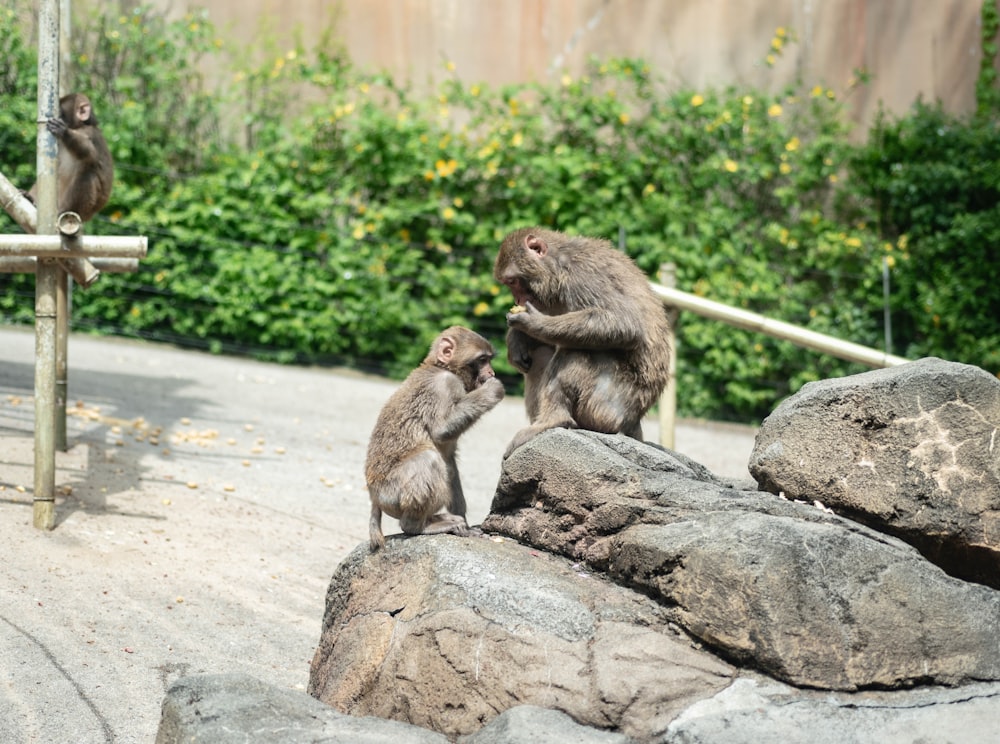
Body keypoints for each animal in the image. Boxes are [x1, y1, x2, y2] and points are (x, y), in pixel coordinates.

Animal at [366, 326, 504, 552]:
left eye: (489, 360)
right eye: (482, 360)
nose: (491, 373)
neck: (440, 367)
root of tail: (374, 499)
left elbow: (450, 459)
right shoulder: (444, 385)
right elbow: (441, 430)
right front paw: (492, 390)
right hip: (390, 494)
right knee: (428, 459)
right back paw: (416, 526)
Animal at [494, 227, 672, 456]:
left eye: (513, 281)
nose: (517, 300)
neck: (557, 265)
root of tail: (635, 421)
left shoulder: (582, 275)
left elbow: (625, 324)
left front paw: (532, 323)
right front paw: (516, 339)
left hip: (610, 406)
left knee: (576, 351)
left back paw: (554, 419)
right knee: (544, 351)